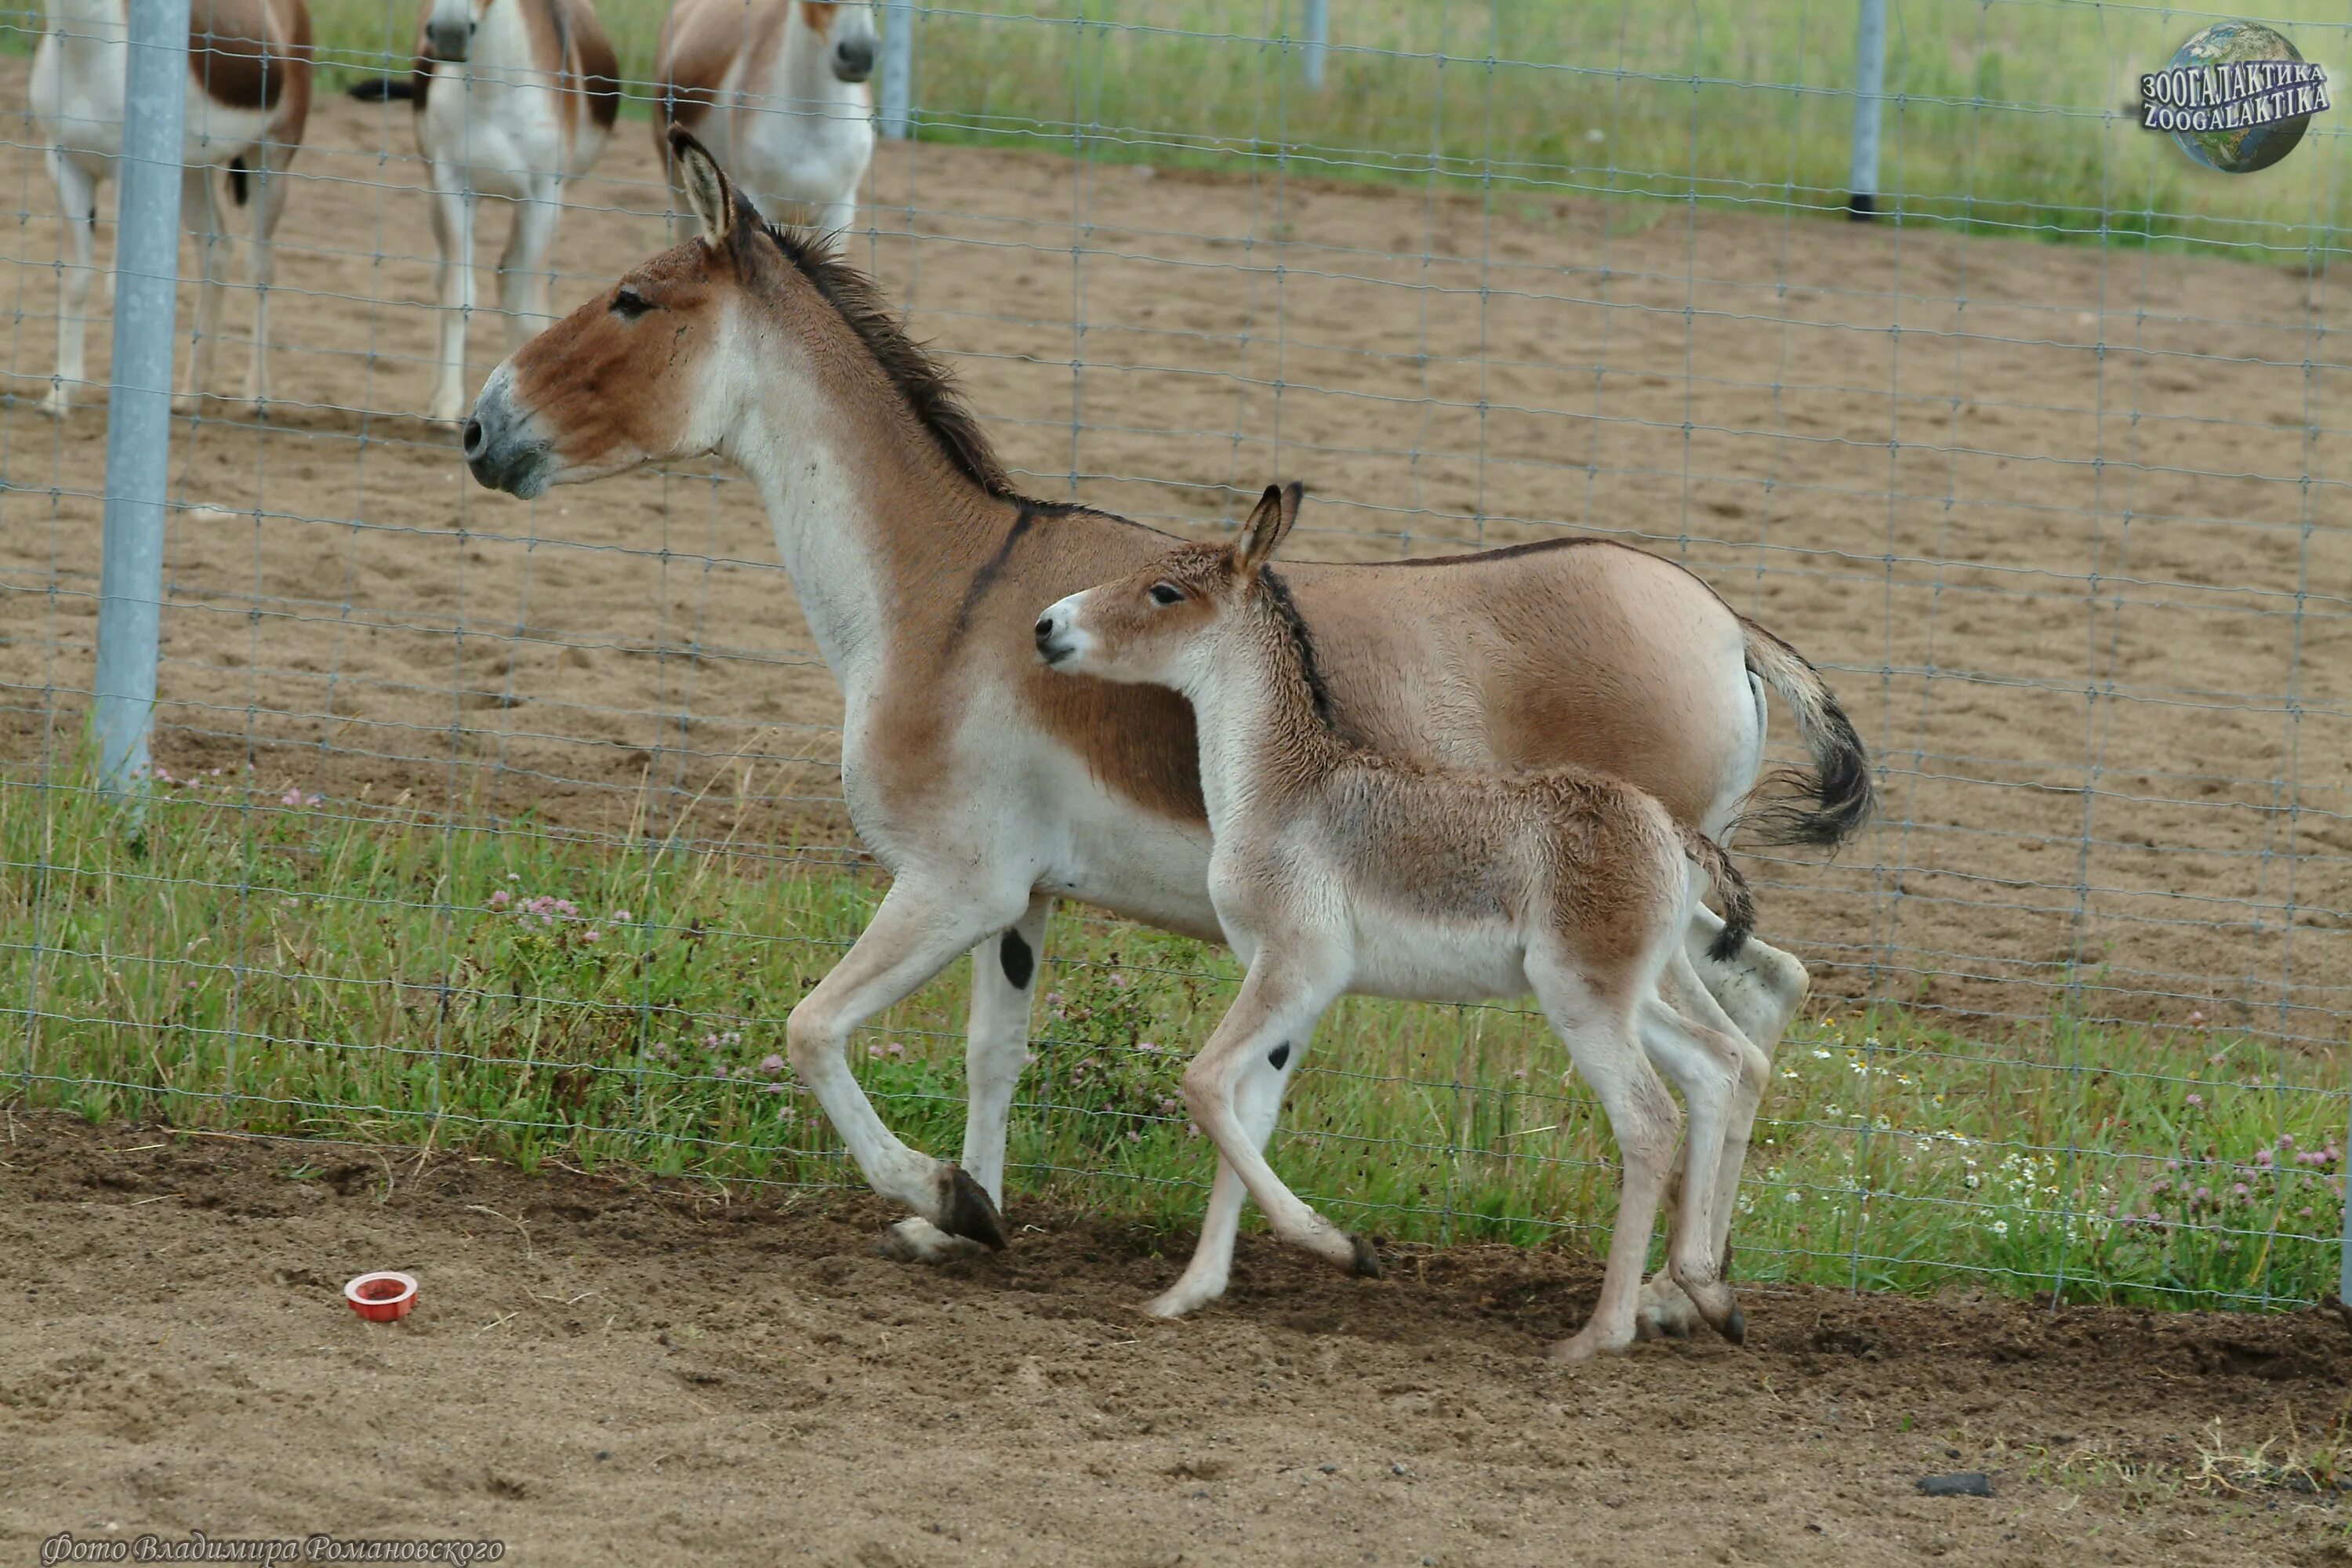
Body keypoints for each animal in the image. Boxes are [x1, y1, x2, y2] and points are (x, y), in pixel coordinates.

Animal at [1040, 484, 1759, 1354]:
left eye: (1165, 592)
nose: (1047, 625)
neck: (1283, 793)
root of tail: (1669, 830)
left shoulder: (1294, 969)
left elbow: (1203, 1084)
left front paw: (1341, 1247)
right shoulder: (1297, 990)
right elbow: (1247, 1115)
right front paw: (1189, 1293)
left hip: (1584, 1004)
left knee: (1651, 1121)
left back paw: (1601, 1334)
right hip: (1625, 996)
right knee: (1718, 1064)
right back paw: (1705, 1290)